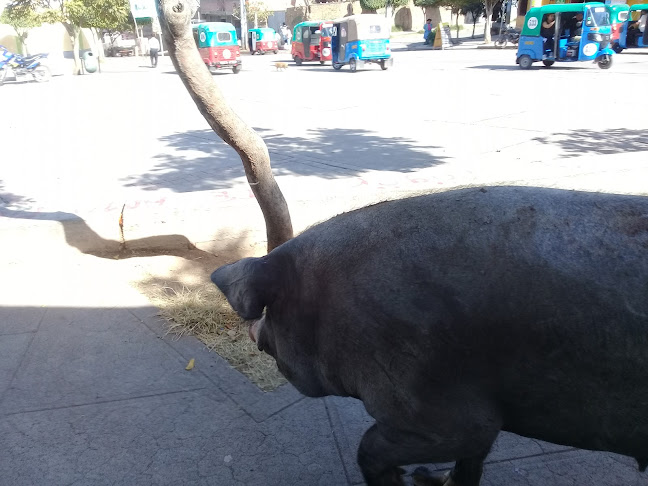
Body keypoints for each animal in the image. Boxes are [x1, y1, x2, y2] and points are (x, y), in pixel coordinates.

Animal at [213, 187, 648, 486]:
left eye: (271, 312)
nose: (255, 332)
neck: (325, 302)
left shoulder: (439, 411)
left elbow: (370, 448)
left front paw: (407, 478)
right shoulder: (484, 414)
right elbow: (470, 464)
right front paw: (428, 477)